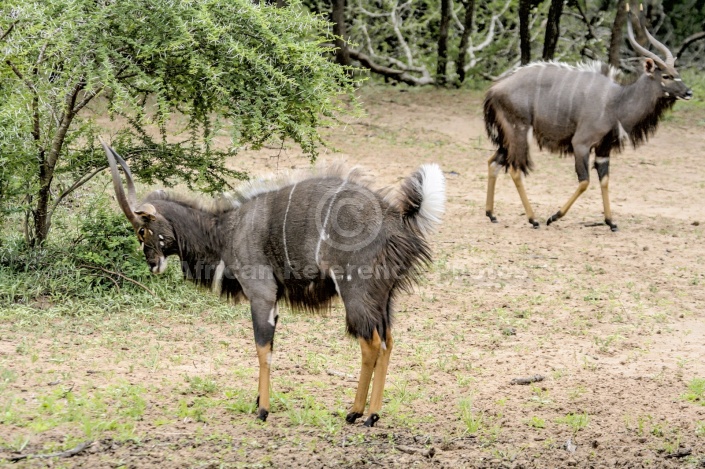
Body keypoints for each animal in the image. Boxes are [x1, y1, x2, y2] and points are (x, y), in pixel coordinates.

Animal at [99, 137, 442, 426]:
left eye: (142, 230)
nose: (151, 264)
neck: (225, 231)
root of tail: (396, 219)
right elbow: (269, 347)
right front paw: (257, 401)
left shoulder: (262, 294)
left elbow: (262, 347)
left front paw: (262, 409)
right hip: (383, 299)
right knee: (387, 342)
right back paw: (367, 413)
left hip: (356, 293)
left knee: (370, 344)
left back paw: (362, 414)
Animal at [482, 3, 692, 230]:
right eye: (666, 76)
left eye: (677, 73)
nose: (689, 92)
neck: (616, 101)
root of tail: (494, 89)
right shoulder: (581, 143)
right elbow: (584, 181)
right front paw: (554, 216)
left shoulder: (603, 149)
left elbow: (604, 179)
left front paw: (611, 222)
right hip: (519, 131)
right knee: (514, 169)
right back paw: (533, 219)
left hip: (507, 137)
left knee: (493, 162)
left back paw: (491, 214)